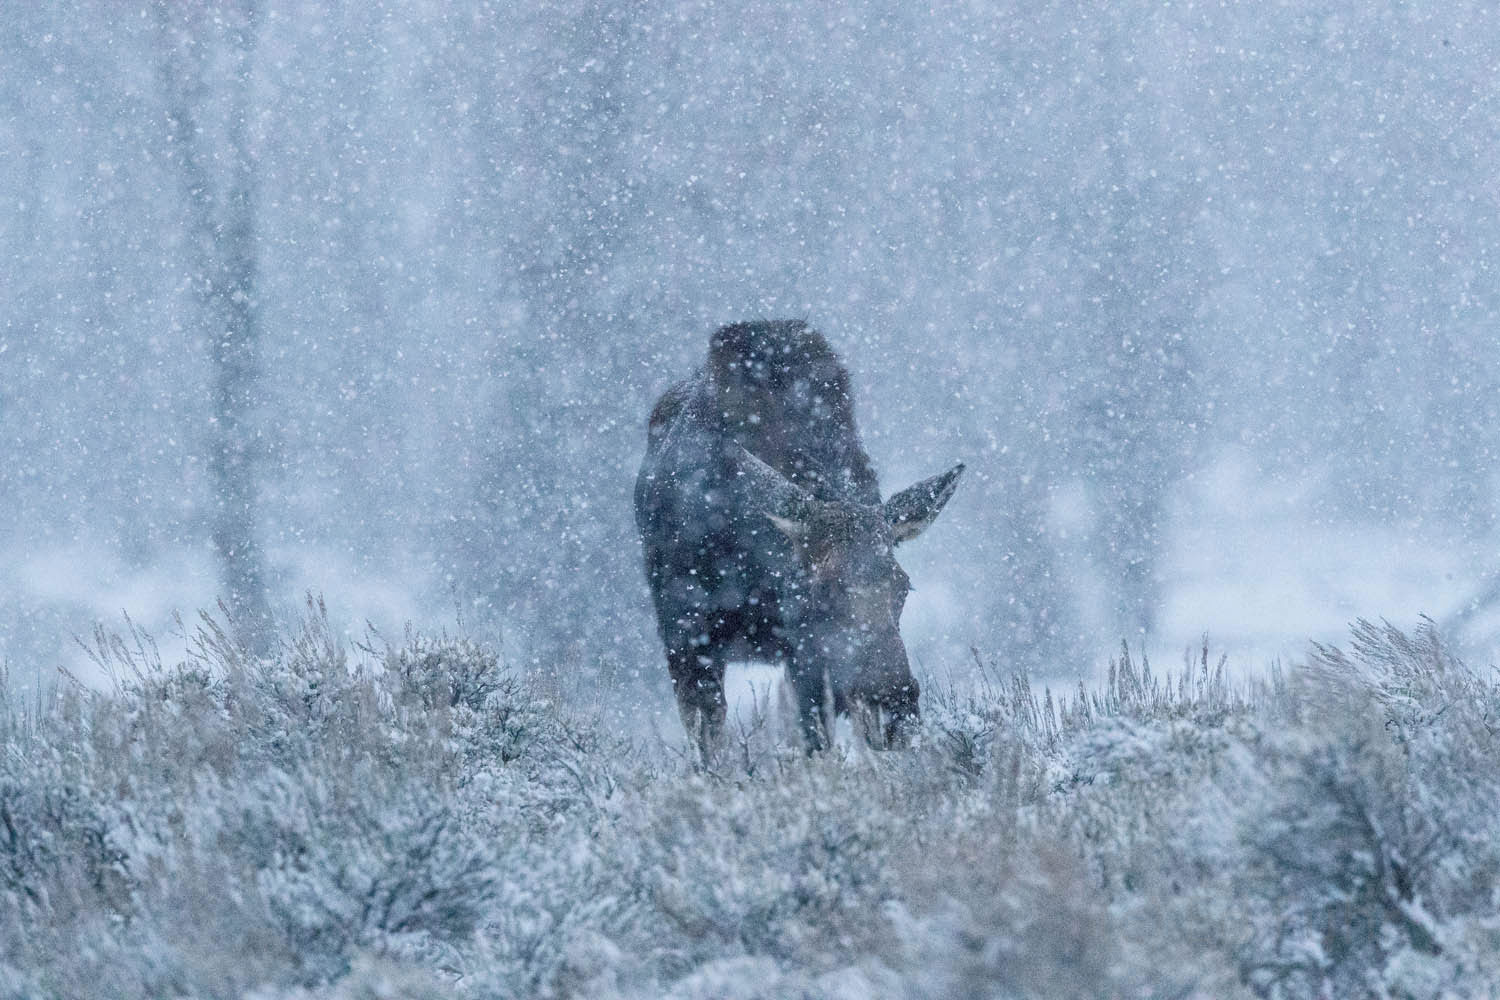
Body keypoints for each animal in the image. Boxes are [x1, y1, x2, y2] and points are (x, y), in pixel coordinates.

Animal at [630, 320, 960, 758]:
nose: (894, 711)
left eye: (903, 587)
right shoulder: (686, 634)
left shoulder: (805, 657)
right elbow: (709, 740)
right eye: (823, 590)